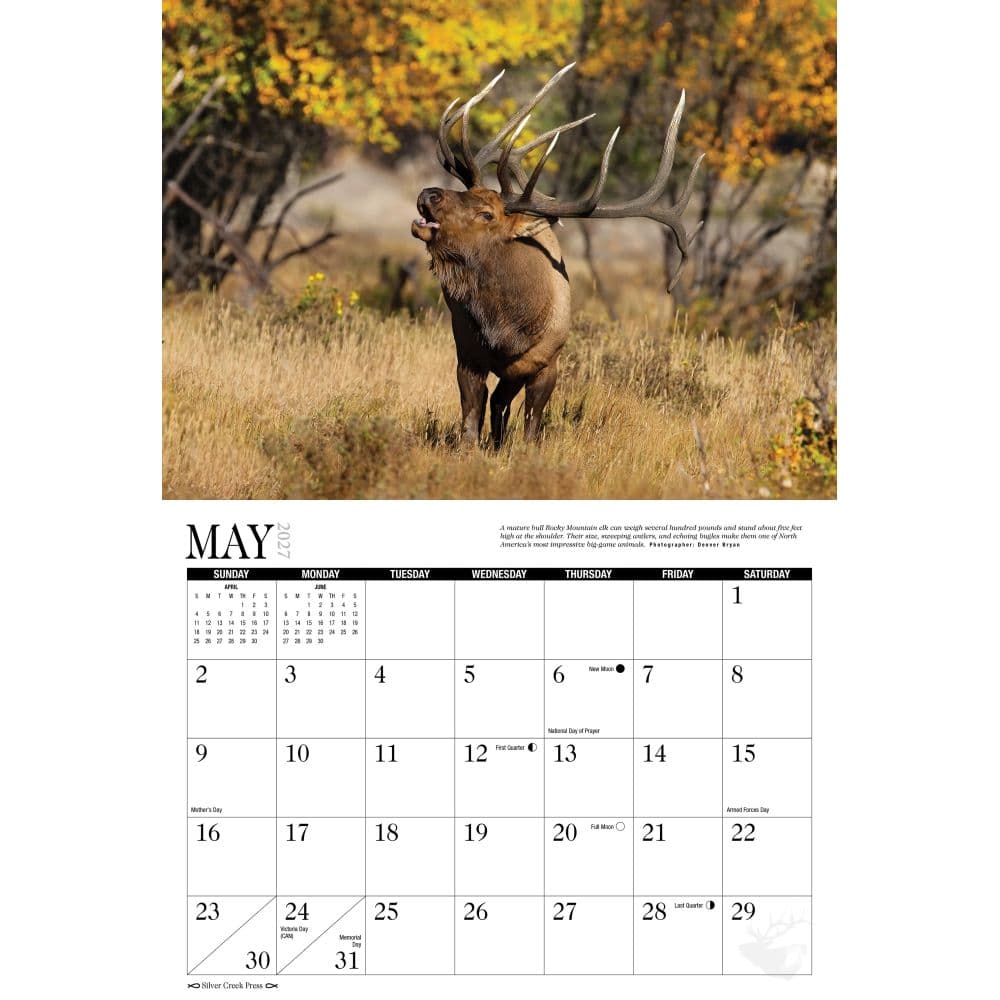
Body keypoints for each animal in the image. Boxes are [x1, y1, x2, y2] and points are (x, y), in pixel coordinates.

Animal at [411, 63, 704, 447]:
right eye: (465, 193)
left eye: (487, 214)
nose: (428, 193)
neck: (507, 331)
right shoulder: (468, 354)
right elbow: (470, 421)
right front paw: (471, 451)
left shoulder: (546, 362)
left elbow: (531, 427)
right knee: (496, 403)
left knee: (501, 403)